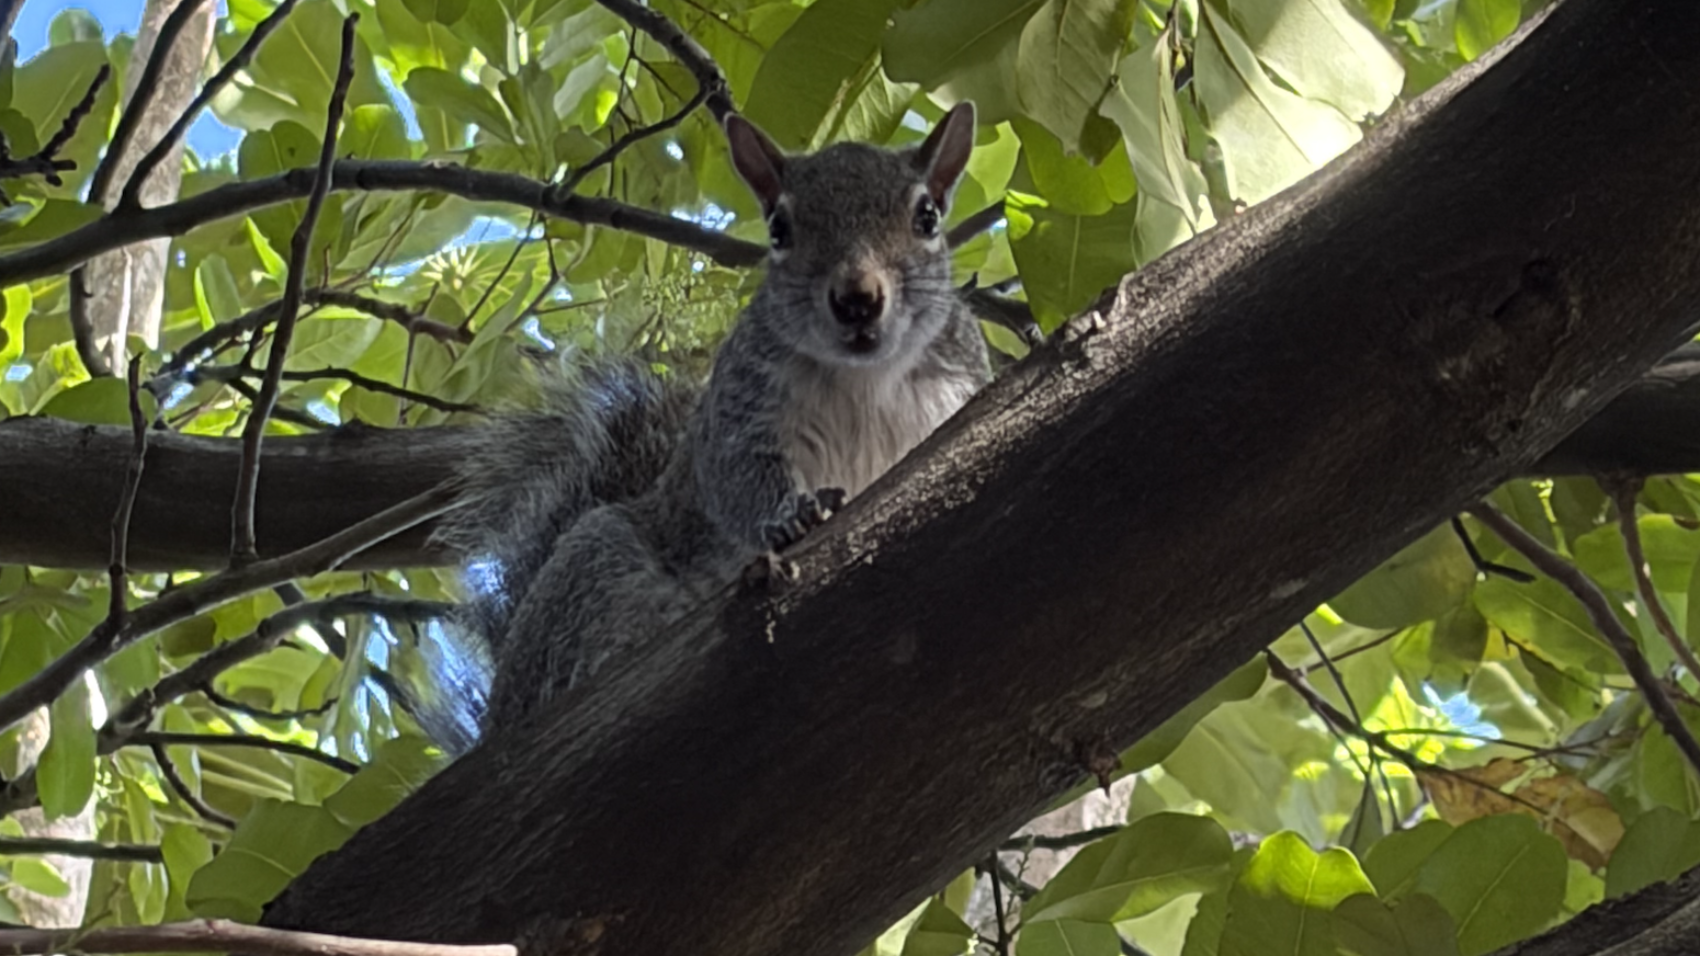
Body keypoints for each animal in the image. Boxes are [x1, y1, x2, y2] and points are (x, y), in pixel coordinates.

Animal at [421, 103, 989, 745]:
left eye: (927, 217)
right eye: (778, 229)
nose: (857, 298)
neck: (867, 376)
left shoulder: (957, 389)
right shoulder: (741, 412)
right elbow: (737, 480)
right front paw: (791, 515)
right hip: (592, 562)